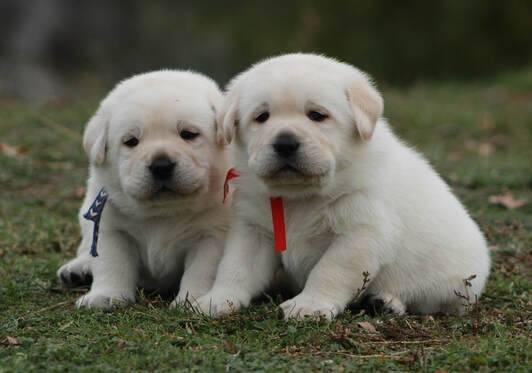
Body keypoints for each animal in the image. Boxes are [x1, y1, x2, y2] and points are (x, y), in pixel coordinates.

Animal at [56, 70, 231, 308]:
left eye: (188, 134)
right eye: (131, 141)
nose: (161, 166)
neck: (163, 212)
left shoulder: (212, 235)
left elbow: (201, 271)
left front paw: (191, 300)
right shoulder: (111, 228)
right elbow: (111, 264)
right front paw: (105, 295)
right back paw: (78, 269)